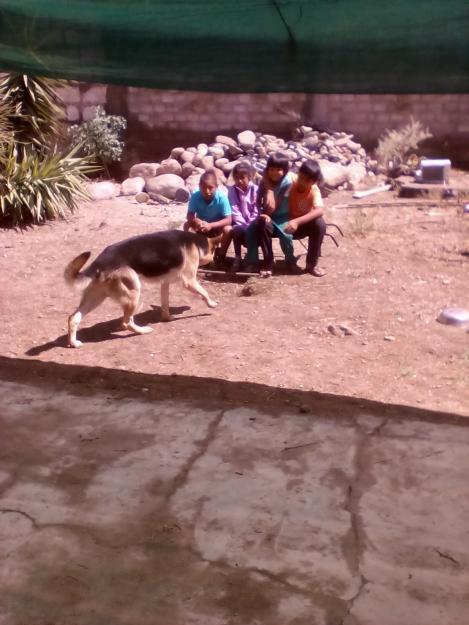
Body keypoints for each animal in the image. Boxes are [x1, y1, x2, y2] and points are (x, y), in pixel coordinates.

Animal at [62, 229, 219, 346]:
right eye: (214, 252)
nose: (214, 262)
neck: (195, 242)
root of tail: (100, 262)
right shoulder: (189, 281)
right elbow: (204, 292)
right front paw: (212, 304)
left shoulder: (165, 284)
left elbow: (165, 304)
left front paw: (167, 318)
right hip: (134, 293)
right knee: (126, 322)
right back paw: (142, 331)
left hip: (96, 299)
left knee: (73, 318)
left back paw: (74, 342)